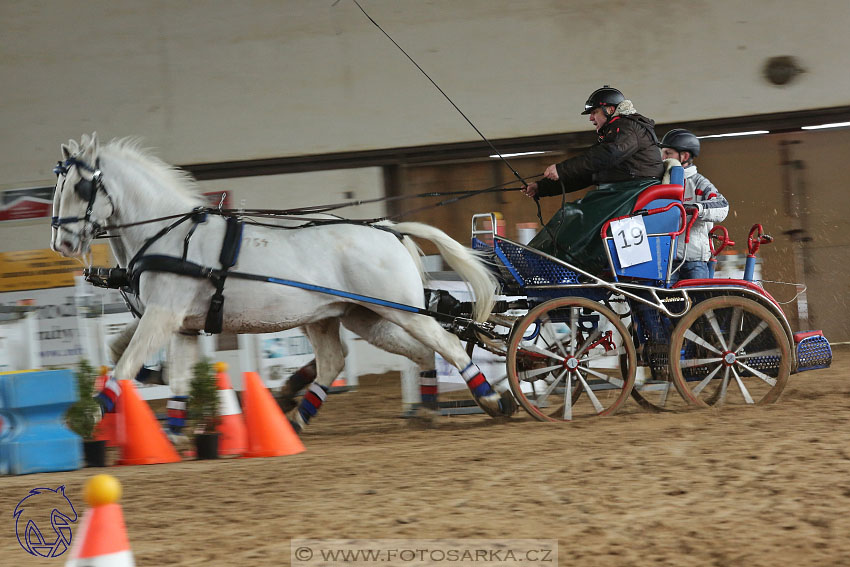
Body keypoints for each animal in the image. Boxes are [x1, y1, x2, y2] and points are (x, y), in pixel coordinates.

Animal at [53, 135, 512, 432]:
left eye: (81, 185)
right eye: (56, 187)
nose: (63, 242)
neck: (169, 234)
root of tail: (388, 229)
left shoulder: (163, 315)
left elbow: (126, 361)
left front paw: (91, 414)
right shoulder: (179, 324)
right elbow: (141, 361)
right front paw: (171, 422)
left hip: (400, 311)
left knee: (447, 344)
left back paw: (492, 399)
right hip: (356, 316)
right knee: (358, 359)